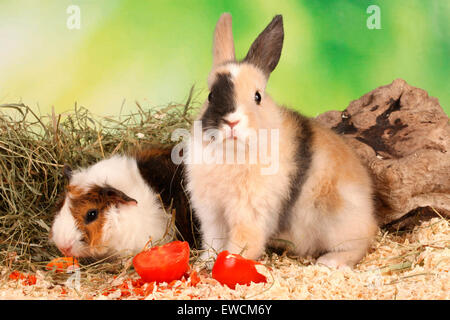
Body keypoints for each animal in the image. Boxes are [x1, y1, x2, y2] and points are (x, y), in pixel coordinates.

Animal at [185, 13, 378, 268]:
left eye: (257, 96)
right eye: (210, 95)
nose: (232, 121)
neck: (233, 152)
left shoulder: (249, 216)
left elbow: (241, 247)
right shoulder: (213, 216)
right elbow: (212, 243)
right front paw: (203, 264)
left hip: (340, 223)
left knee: (360, 242)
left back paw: (330, 262)